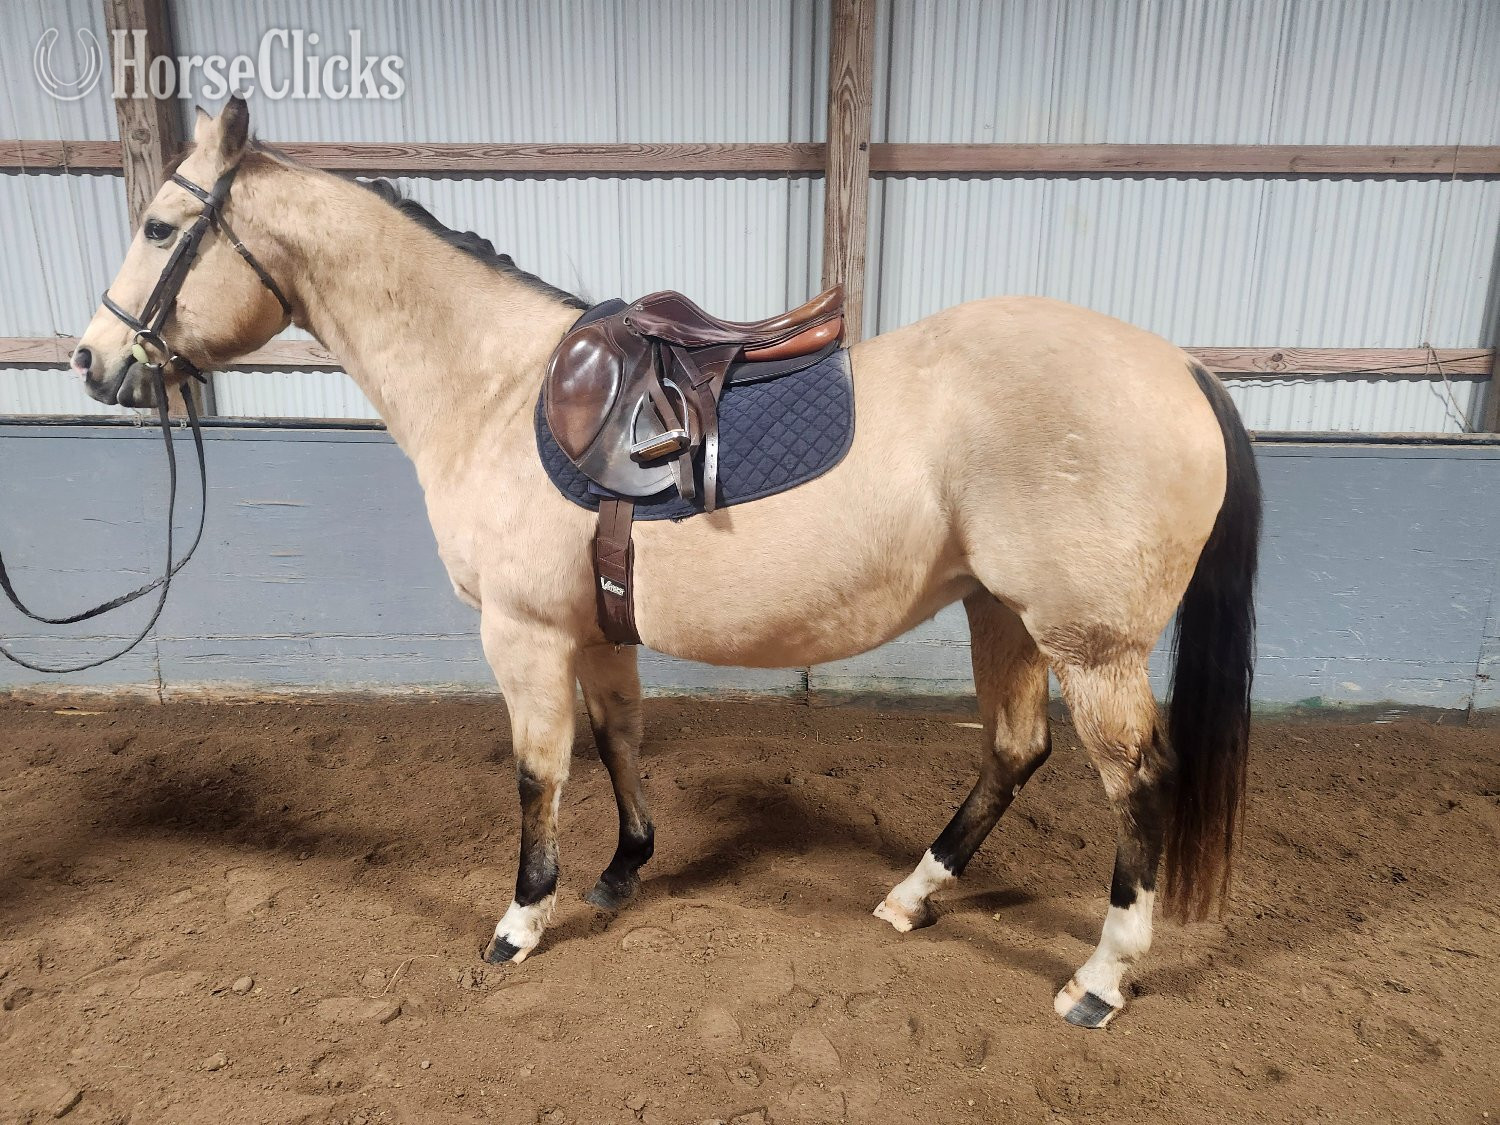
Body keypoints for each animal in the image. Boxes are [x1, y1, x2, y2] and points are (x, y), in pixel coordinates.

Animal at [69, 97, 1260, 1028]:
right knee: (1014, 751)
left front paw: (521, 919)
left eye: (161, 224)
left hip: (1090, 645)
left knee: (1136, 784)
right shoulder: (595, 629)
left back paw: (1099, 978)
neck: (495, 389)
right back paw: (912, 896)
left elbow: (539, 772)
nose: (92, 359)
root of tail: (1181, 368)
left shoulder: (522, 634)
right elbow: (617, 741)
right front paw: (621, 870)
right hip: (1001, 614)